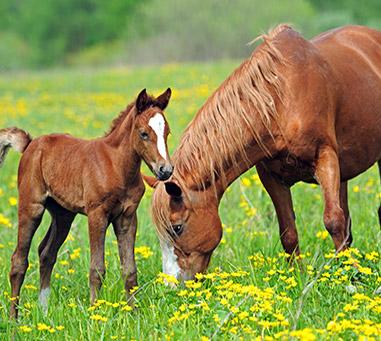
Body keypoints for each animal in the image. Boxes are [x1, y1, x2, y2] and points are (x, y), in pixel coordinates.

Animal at [0, 87, 172, 316]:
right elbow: (97, 269)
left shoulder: (127, 218)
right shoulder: (96, 215)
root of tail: (31, 144)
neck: (116, 166)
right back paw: (13, 317)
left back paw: (44, 312)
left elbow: (129, 269)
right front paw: (95, 312)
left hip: (63, 215)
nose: (165, 170)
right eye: (143, 133)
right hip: (31, 207)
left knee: (46, 253)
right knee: (19, 260)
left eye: (167, 133)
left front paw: (134, 313)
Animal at [148, 25, 380, 282]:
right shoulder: (271, 176)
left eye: (177, 227)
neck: (282, 100)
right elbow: (288, 232)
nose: (172, 284)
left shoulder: (325, 157)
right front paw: (297, 277)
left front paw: (351, 276)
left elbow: (333, 220)